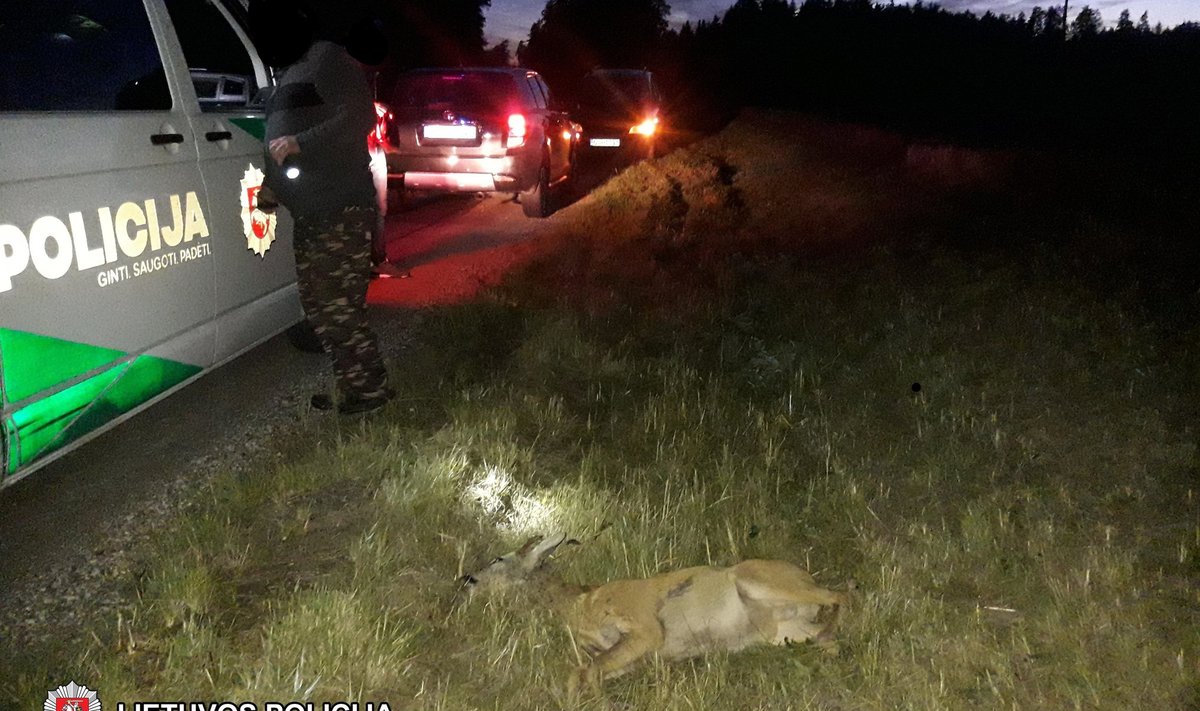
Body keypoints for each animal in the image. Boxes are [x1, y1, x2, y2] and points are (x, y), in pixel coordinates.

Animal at [463, 533, 849, 696]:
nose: (467, 579)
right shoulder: (633, 655)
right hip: (784, 630)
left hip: (759, 578)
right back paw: (827, 642)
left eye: (498, 558)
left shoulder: (645, 625)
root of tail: (803, 573)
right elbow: (587, 672)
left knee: (840, 594)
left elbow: (584, 671)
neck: (579, 604)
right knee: (828, 632)